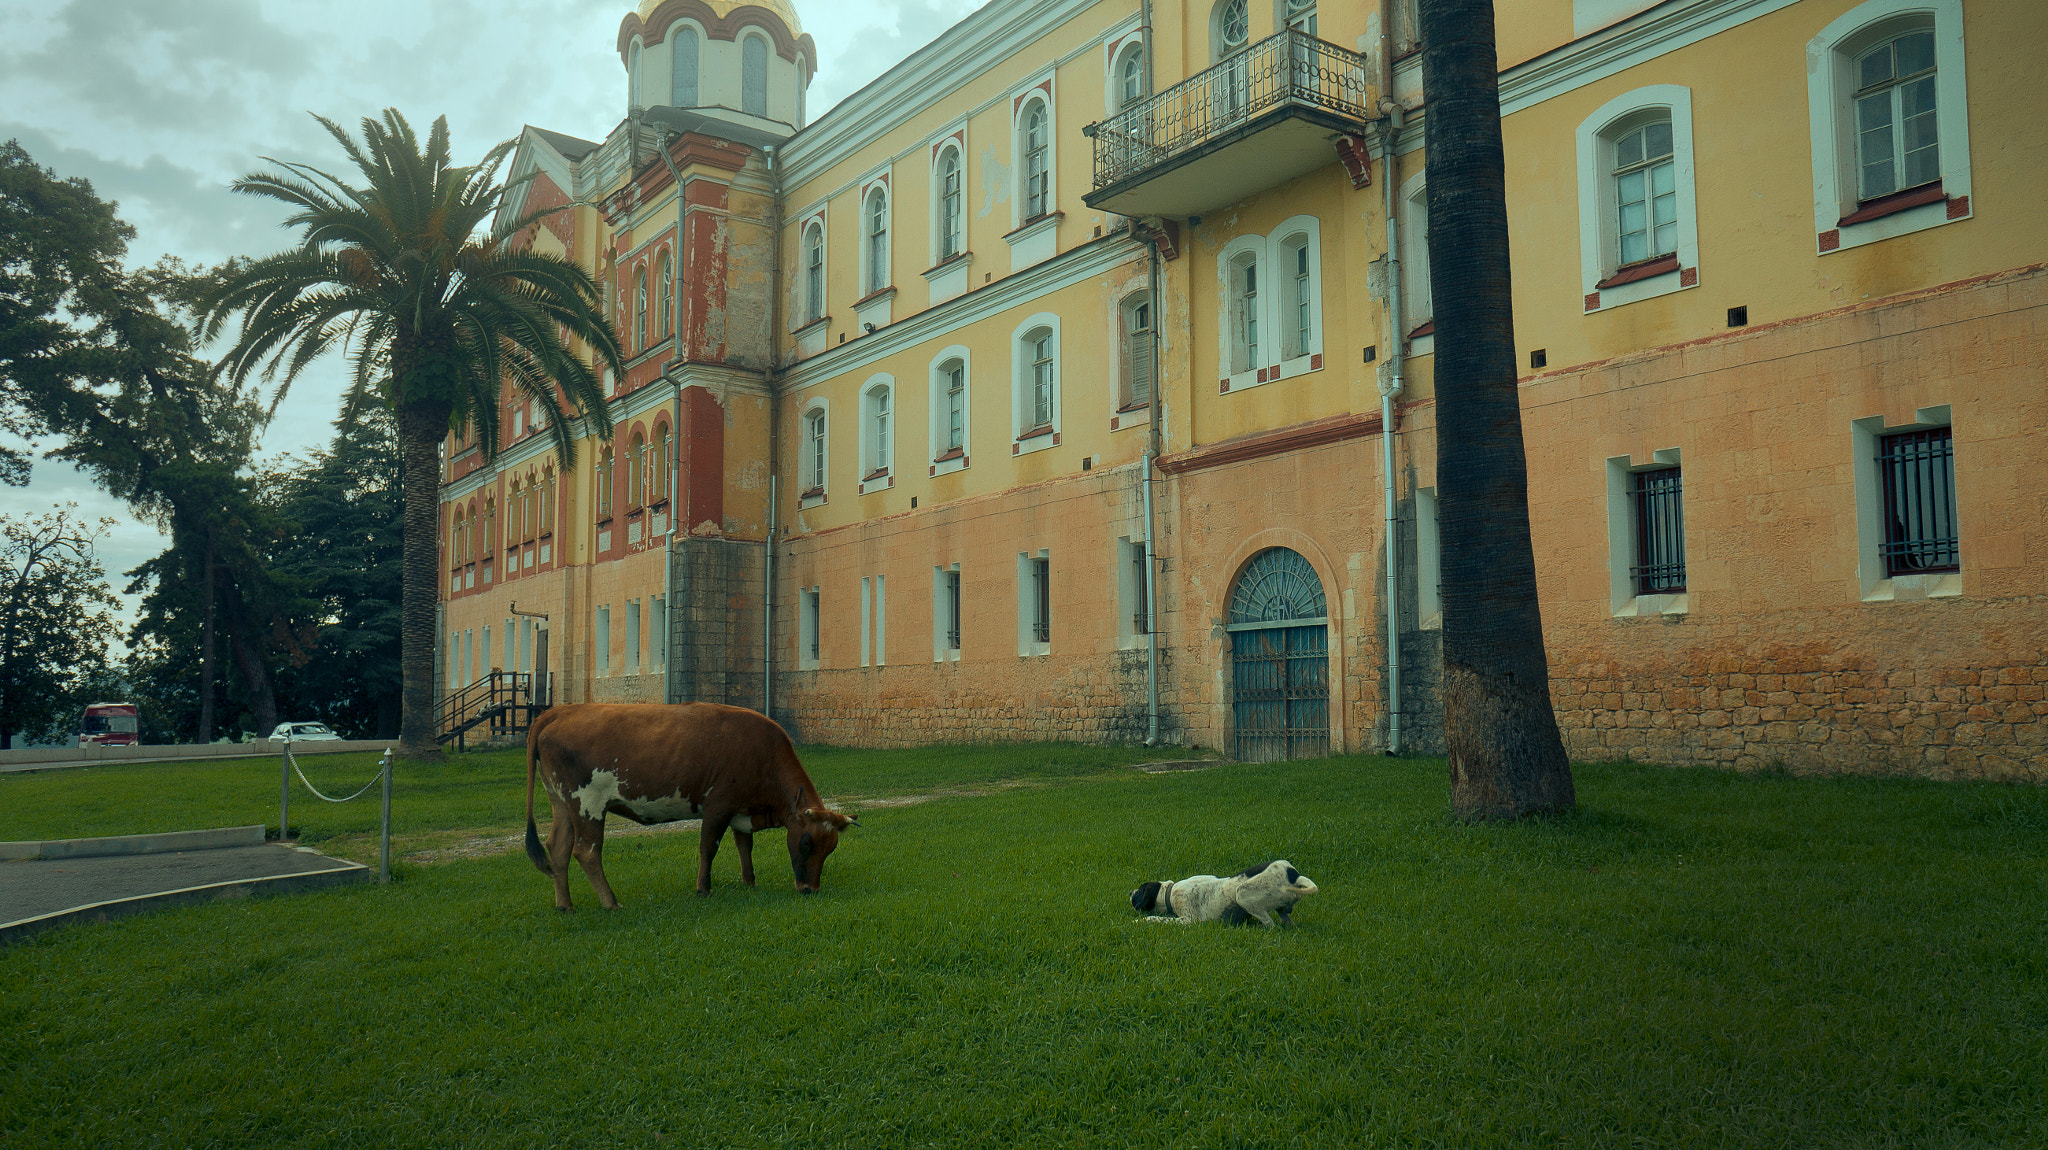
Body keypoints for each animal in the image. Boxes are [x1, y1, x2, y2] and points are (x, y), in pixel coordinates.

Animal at [528, 695, 856, 908]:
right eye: (806, 844)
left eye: (830, 848)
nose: (810, 889)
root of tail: (559, 712)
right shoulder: (718, 805)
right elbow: (708, 847)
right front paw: (704, 889)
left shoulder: (741, 810)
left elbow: (744, 846)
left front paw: (749, 882)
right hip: (588, 803)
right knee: (586, 851)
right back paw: (611, 902)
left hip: (561, 802)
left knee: (558, 848)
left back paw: (565, 906)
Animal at [1130, 859, 1318, 920]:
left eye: (1139, 891)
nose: (1130, 892)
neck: (1170, 892)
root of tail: (1293, 875)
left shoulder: (1188, 920)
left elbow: (1156, 919)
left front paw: (1141, 921)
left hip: (1243, 894)